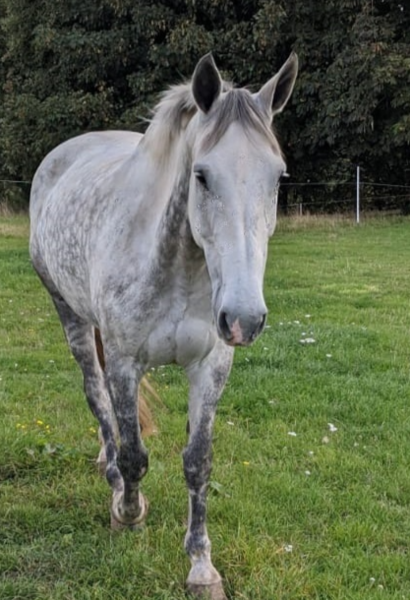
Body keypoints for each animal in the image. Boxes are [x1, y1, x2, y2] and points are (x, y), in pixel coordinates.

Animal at [29, 52, 298, 600]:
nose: (244, 318)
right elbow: (135, 454)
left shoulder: (212, 366)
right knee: (97, 398)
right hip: (72, 318)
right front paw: (127, 511)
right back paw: (111, 473)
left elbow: (198, 462)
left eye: (278, 178)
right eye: (202, 175)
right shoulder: (125, 363)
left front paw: (201, 566)